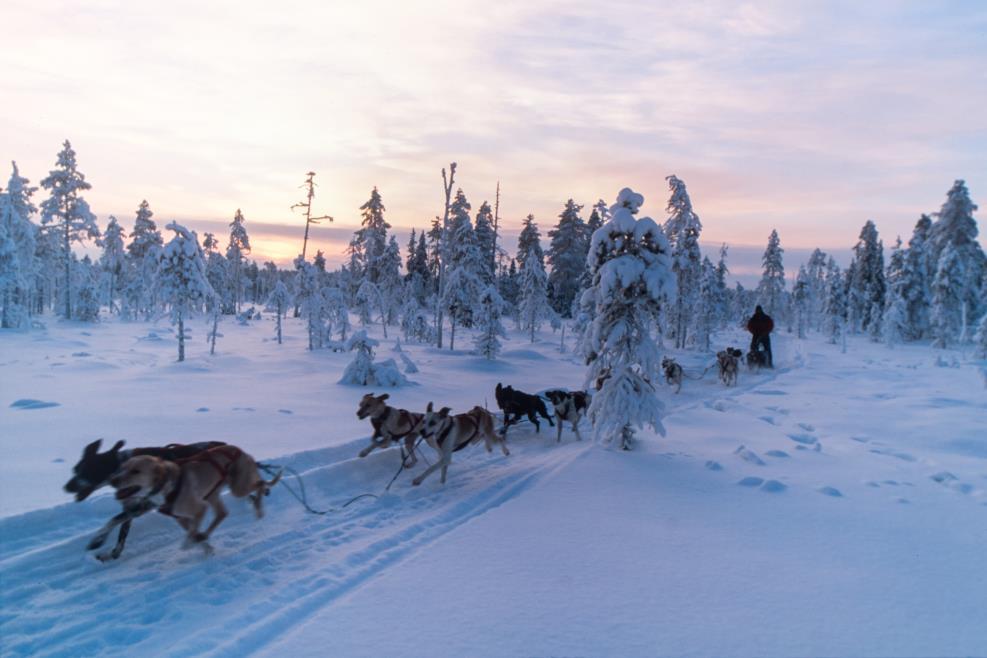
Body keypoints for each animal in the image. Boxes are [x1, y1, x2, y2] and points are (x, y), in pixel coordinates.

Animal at [111, 440, 282, 552]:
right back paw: (206, 535)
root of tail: (243, 452)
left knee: (260, 484)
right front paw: (204, 547)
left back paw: (259, 508)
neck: (170, 485)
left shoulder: (200, 508)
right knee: (222, 513)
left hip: (237, 488)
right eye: (123, 468)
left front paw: (190, 544)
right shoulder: (180, 517)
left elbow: (192, 532)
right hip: (213, 494)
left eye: (136, 471)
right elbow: (192, 531)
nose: (113, 480)